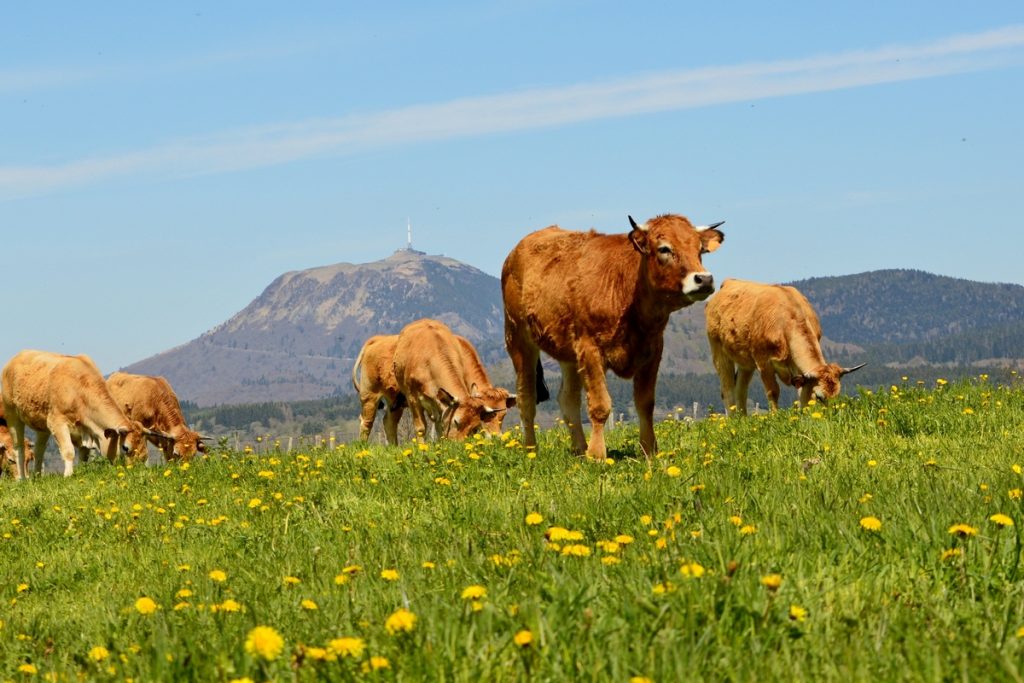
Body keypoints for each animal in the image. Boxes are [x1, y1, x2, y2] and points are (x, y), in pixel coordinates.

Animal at [1, 350, 151, 479]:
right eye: (126, 448)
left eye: (143, 447)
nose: (134, 470)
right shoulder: (57, 422)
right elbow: (68, 451)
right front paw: (68, 475)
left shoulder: (85, 431)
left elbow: (83, 457)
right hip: (12, 414)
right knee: (19, 448)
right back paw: (23, 479)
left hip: (42, 424)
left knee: (39, 450)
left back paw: (38, 477)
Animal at [499, 214, 724, 458]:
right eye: (664, 248)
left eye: (699, 249)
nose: (704, 279)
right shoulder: (591, 350)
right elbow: (600, 406)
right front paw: (597, 454)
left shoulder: (653, 350)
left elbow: (645, 404)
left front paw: (649, 451)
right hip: (519, 340)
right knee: (526, 399)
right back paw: (531, 450)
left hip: (569, 354)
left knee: (568, 399)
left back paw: (579, 450)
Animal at [704, 278, 864, 417]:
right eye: (819, 397)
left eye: (837, 395)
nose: (833, 416)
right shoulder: (764, 363)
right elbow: (773, 391)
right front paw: (775, 416)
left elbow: (802, 393)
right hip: (719, 352)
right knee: (727, 389)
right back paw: (733, 420)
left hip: (746, 363)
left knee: (740, 389)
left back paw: (743, 419)